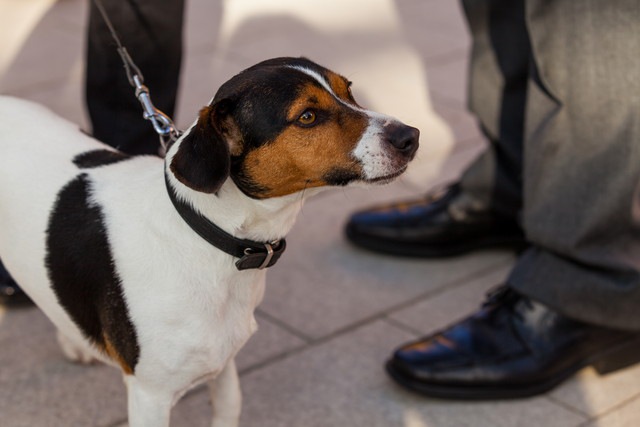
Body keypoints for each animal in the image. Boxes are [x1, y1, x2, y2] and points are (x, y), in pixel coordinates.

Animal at [0, 57, 420, 427]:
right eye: (307, 116)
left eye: (349, 91)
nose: (411, 136)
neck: (206, 237)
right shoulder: (149, 396)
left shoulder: (224, 362)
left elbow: (229, 407)